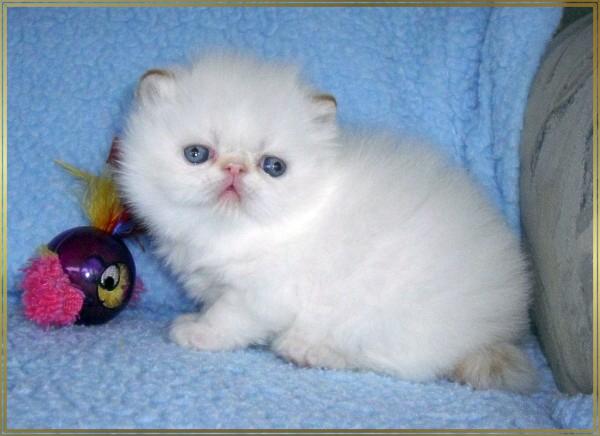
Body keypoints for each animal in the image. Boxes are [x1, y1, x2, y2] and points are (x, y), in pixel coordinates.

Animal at [116, 53, 536, 393]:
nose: (235, 169)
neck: (234, 234)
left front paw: (198, 332)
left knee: (396, 363)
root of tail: (494, 332)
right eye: (197, 154)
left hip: (386, 318)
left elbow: (228, 317)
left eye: (273, 167)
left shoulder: (262, 293)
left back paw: (307, 350)